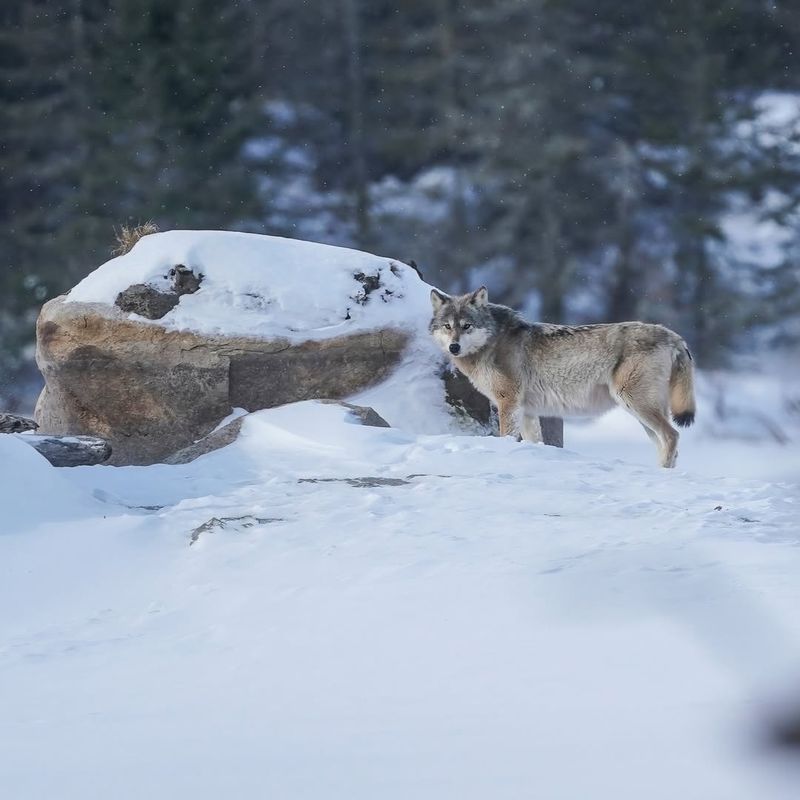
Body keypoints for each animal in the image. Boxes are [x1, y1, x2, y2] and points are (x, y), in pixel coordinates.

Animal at [428, 286, 696, 468]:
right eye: (447, 326)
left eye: (467, 326)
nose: (454, 347)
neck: (492, 342)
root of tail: (675, 337)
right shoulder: (527, 411)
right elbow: (535, 441)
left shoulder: (508, 402)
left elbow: (507, 436)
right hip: (642, 414)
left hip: (635, 404)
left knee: (672, 435)